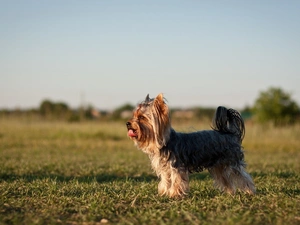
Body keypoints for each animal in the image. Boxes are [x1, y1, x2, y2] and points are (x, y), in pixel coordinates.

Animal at [126, 93, 255, 197]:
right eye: (134, 116)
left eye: (141, 117)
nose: (127, 123)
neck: (164, 143)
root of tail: (230, 133)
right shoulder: (165, 169)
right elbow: (166, 181)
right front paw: (165, 193)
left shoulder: (176, 167)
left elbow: (176, 181)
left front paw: (174, 195)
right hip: (219, 166)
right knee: (226, 179)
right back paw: (230, 193)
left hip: (232, 162)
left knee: (243, 177)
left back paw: (250, 192)